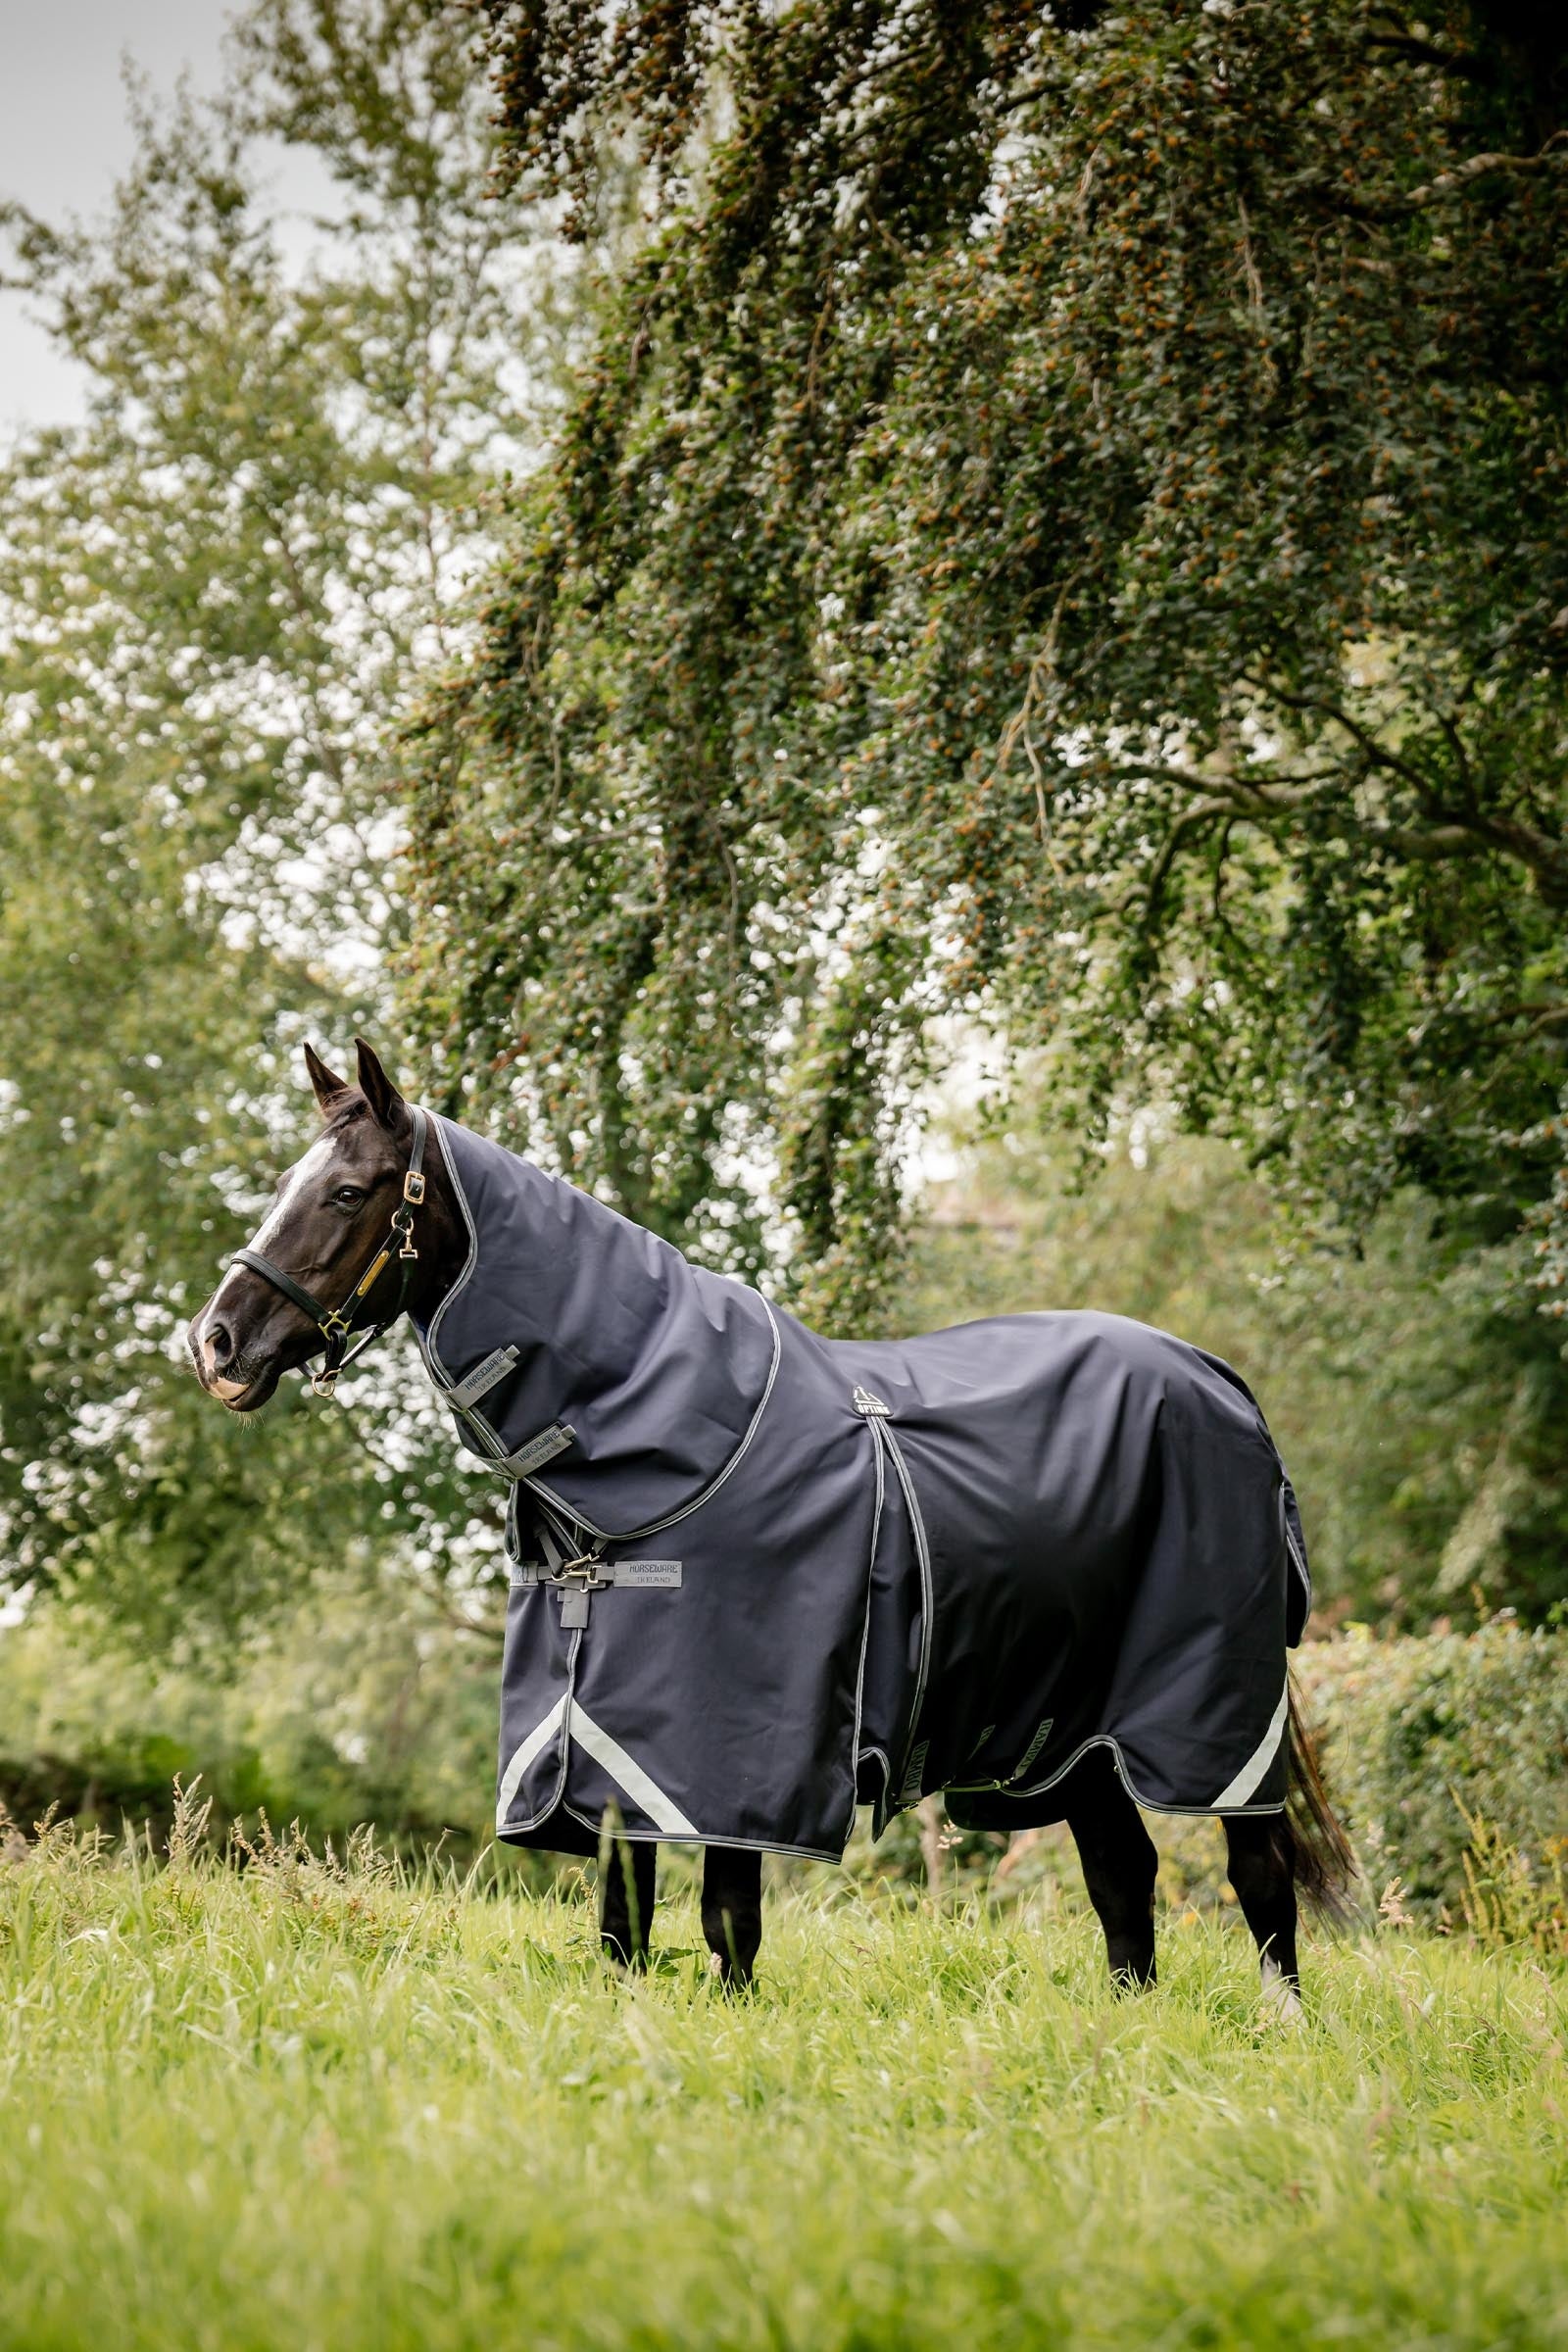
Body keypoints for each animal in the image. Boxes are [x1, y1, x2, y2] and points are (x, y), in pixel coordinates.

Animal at [189, 1039, 1355, 2003]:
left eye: (347, 1191)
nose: (217, 1345)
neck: (662, 1433)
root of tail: (1221, 1383)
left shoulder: (733, 1756)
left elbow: (726, 1920)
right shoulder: (609, 1751)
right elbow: (621, 1924)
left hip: (1209, 1719)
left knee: (1256, 1874)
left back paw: (1279, 2027)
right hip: (1073, 1738)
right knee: (1123, 1873)